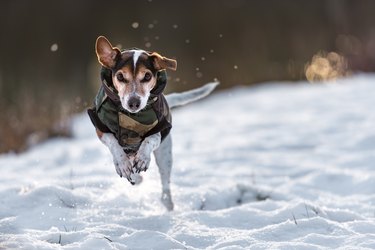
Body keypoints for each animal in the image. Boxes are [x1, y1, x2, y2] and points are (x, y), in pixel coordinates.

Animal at [88, 35, 217, 211]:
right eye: (120, 77)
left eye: (147, 76)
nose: (134, 103)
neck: (130, 115)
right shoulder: (100, 128)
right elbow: (113, 142)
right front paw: (122, 163)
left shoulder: (161, 129)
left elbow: (150, 139)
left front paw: (143, 157)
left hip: (165, 154)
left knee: (165, 184)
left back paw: (167, 202)